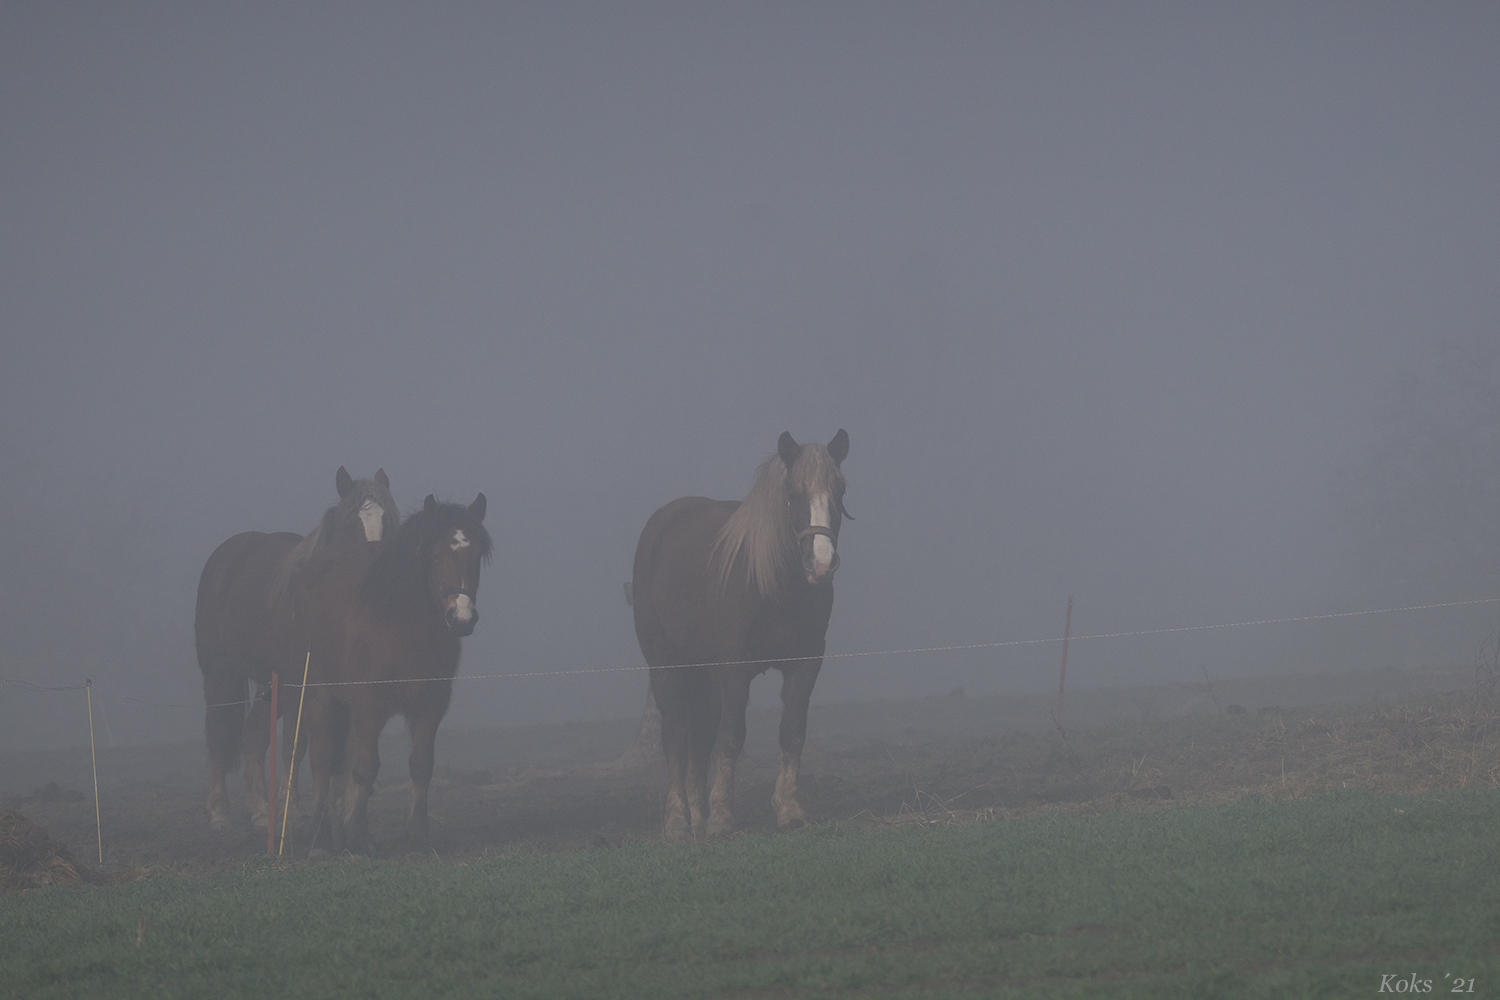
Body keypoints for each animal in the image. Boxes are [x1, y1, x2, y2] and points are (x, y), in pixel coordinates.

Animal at [193, 467, 399, 827]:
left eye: (387, 520)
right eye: (350, 524)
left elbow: (347, 749)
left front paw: (346, 809)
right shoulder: (299, 684)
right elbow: (295, 744)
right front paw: (290, 810)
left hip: (268, 683)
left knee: (253, 737)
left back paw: (259, 810)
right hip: (220, 673)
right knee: (218, 734)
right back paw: (219, 811)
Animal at [295, 491, 495, 851]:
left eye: (476, 556)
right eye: (435, 554)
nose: (461, 618)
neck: (401, 628)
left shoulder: (431, 704)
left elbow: (421, 764)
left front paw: (417, 832)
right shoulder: (368, 705)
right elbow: (365, 767)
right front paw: (359, 838)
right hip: (320, 695)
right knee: (322, 759)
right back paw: (319, 836)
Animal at [627, 431, 852, 845]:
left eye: (840, 490)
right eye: (793, 493)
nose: (822, 564)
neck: (775, 587)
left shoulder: (806, 661)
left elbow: (792, 731)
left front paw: (790, 810)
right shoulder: (735, 666)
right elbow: (731, 736)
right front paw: (722, 818)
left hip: (704, 671)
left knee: (700, 737)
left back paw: (697, 817)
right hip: (666, 665)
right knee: (675, 736)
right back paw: (678, 821)